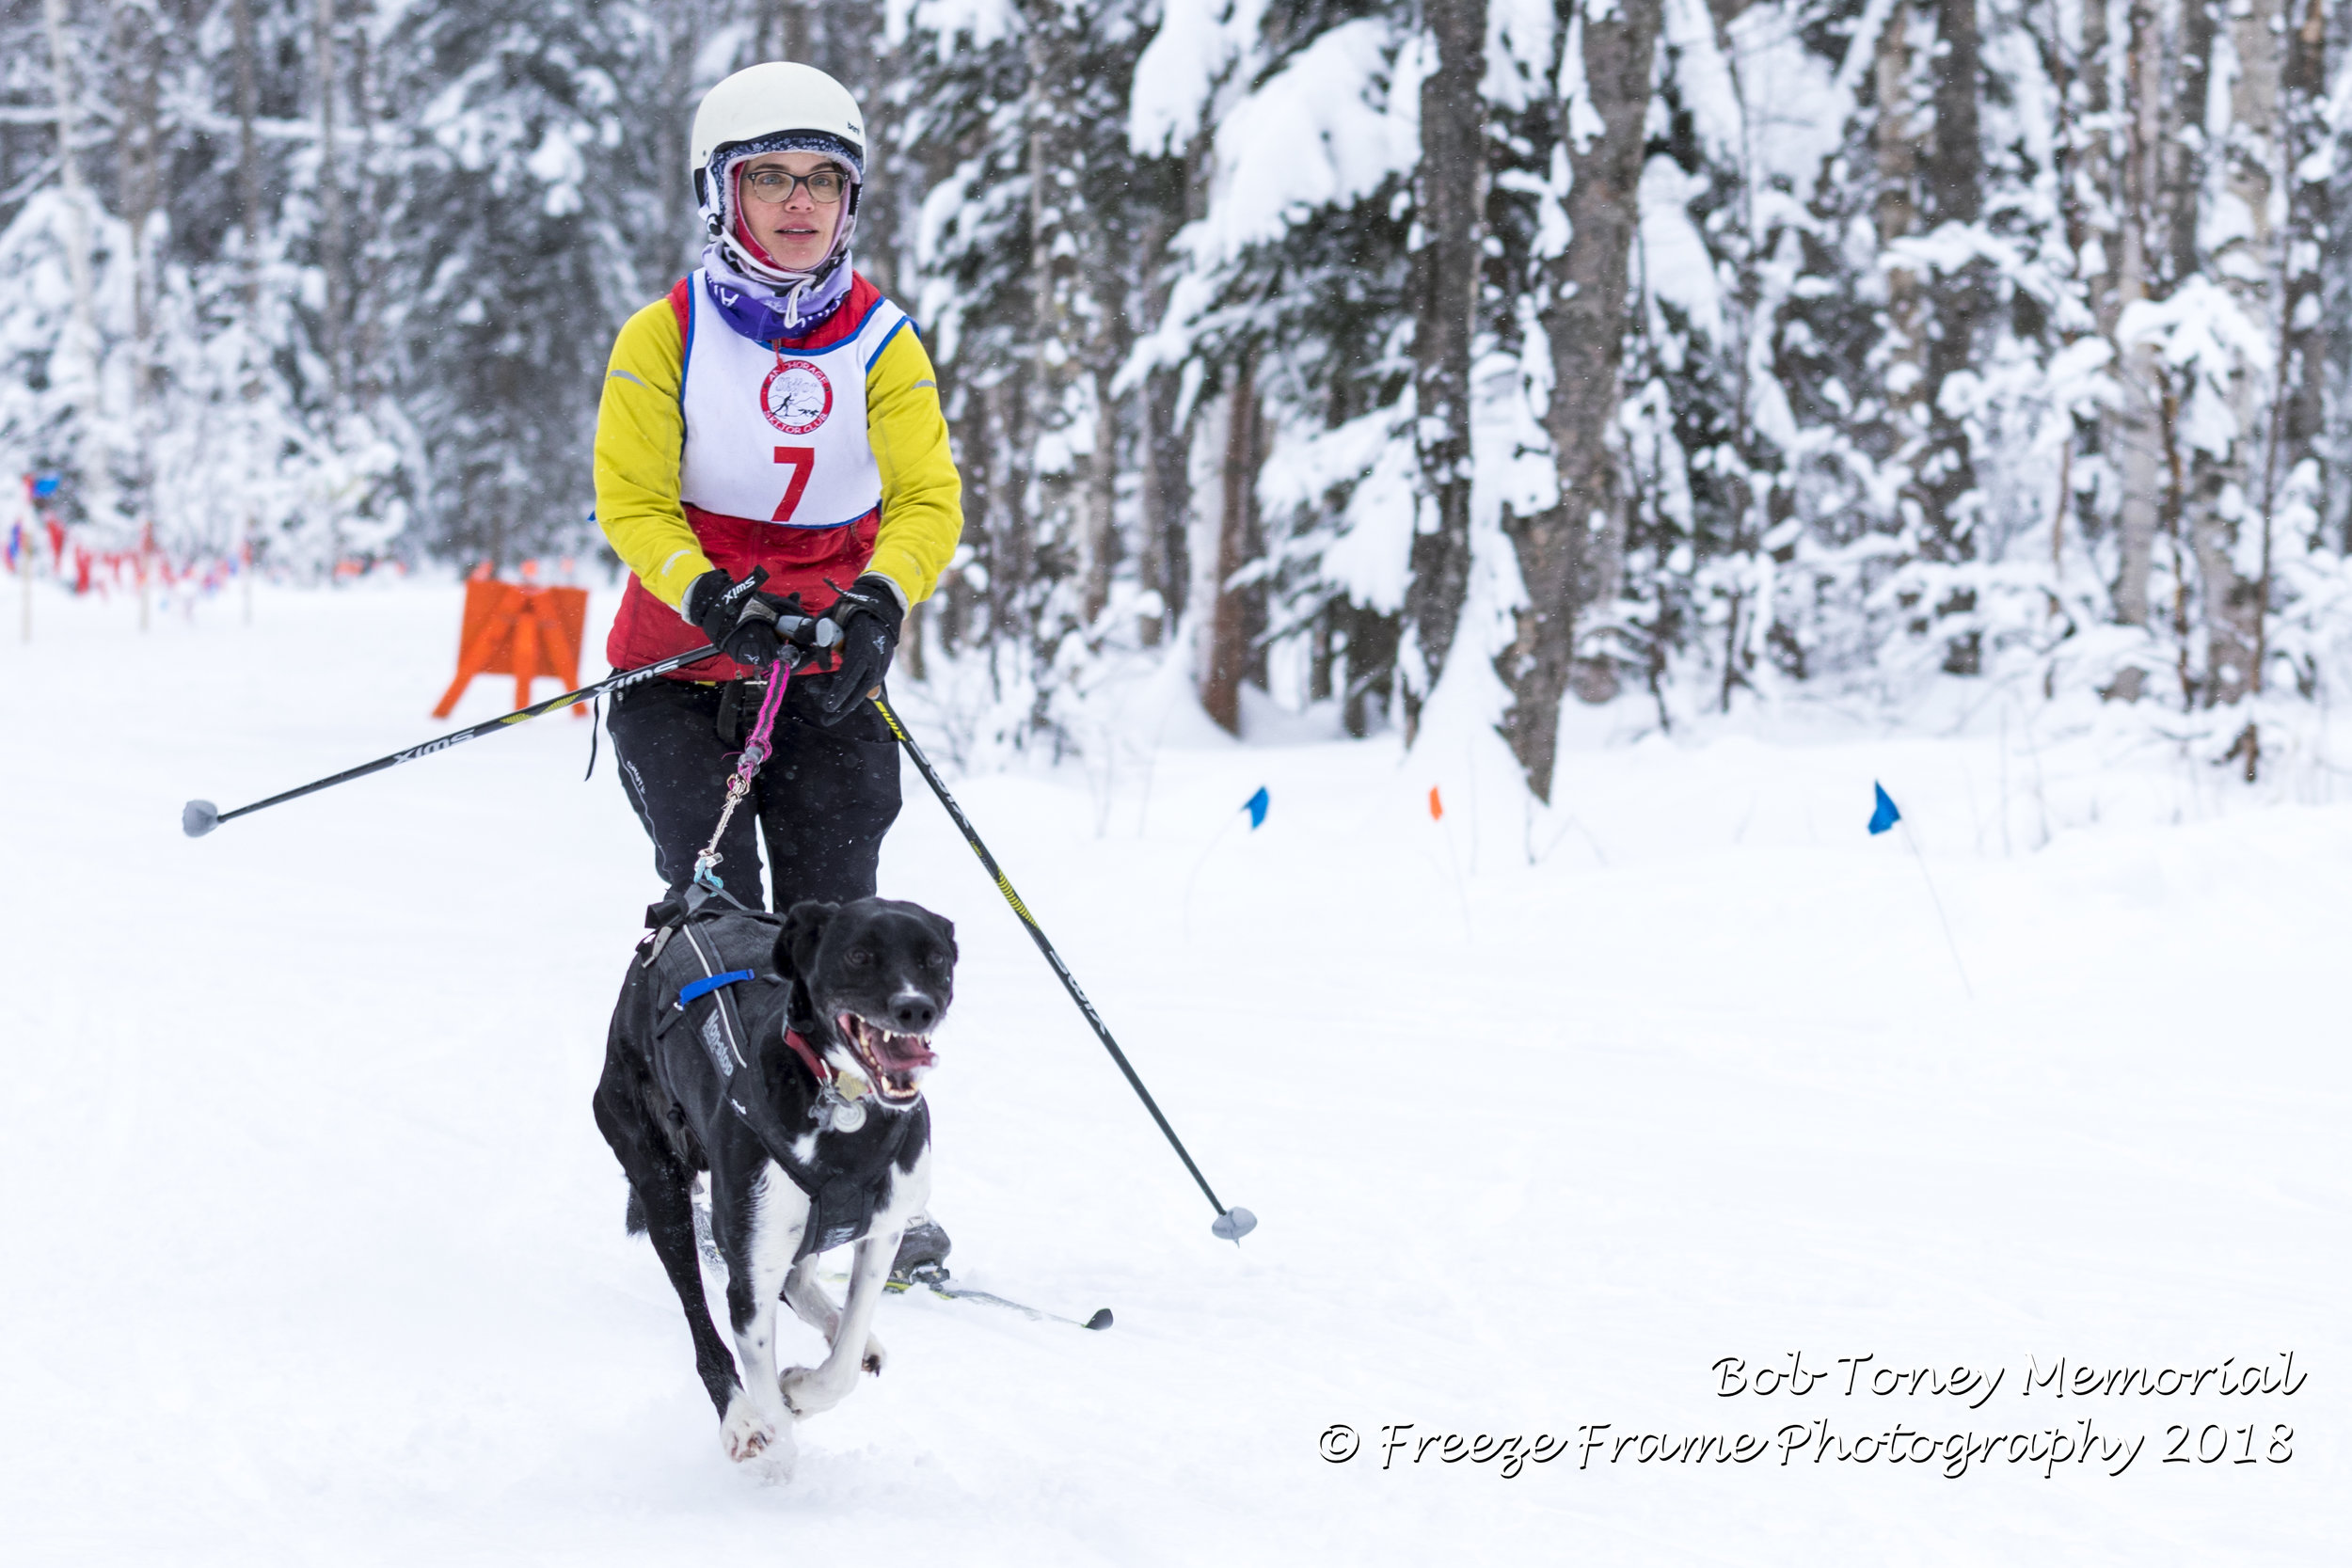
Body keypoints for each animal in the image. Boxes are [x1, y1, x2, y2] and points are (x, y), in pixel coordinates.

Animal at [597, 893, 955, 1476]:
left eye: (935, 959)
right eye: (858, 955)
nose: (916, 1008)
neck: (843, 1106)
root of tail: (682, 915)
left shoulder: (882, 1235)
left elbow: (843, 1364)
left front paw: (803, 1389)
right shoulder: (750, 1272)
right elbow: (763, 1377)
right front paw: (774, 1436)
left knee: (803, 1282)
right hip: (660, 1186)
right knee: (700, 1314)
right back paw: (740, 1418)